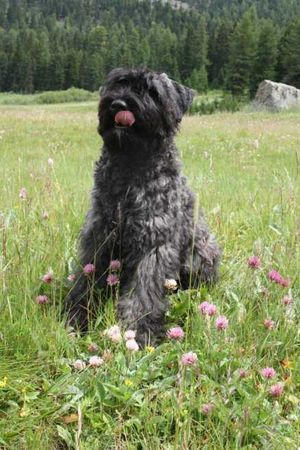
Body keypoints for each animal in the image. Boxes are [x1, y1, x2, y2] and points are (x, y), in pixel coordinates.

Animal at [65, 68, 220, 344]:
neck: (130, 167)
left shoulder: (154, 244)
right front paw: (79, 316)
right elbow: (86, 281)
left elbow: (143, 294)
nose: (119, 104)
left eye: (152, 92)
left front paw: (138, 330)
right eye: (118, 84)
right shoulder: (98, 239)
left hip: (201, 251)